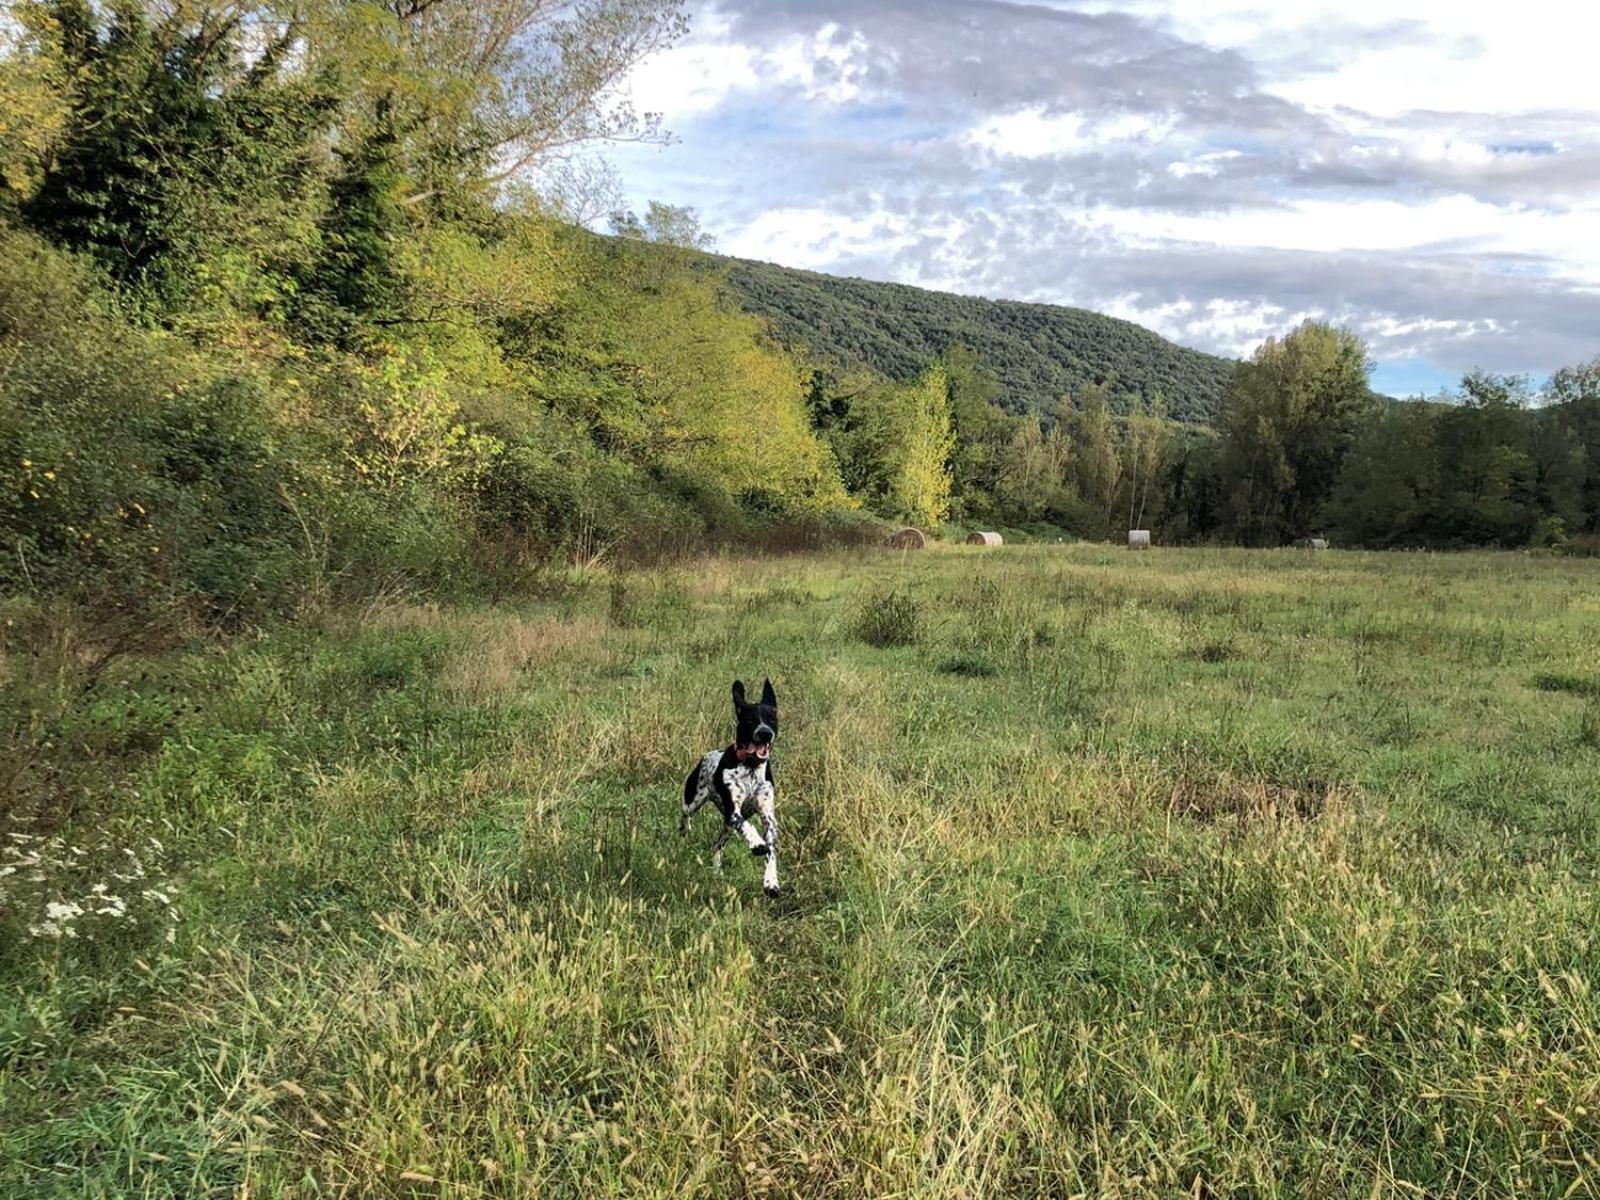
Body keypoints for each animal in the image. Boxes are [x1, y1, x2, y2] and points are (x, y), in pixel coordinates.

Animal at [678, 681, 777, 896]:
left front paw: (771, 882)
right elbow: (749, 827)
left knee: (717, 846)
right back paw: (684, 830)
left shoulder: (769, 818)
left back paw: (717, 871)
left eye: (772, 718)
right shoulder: (733, 811)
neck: (750, 766)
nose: (765, 732)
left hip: (728, 828)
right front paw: (757, 844)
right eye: (750, 719)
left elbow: (771, 851)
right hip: (694, 800)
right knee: (684, 815)